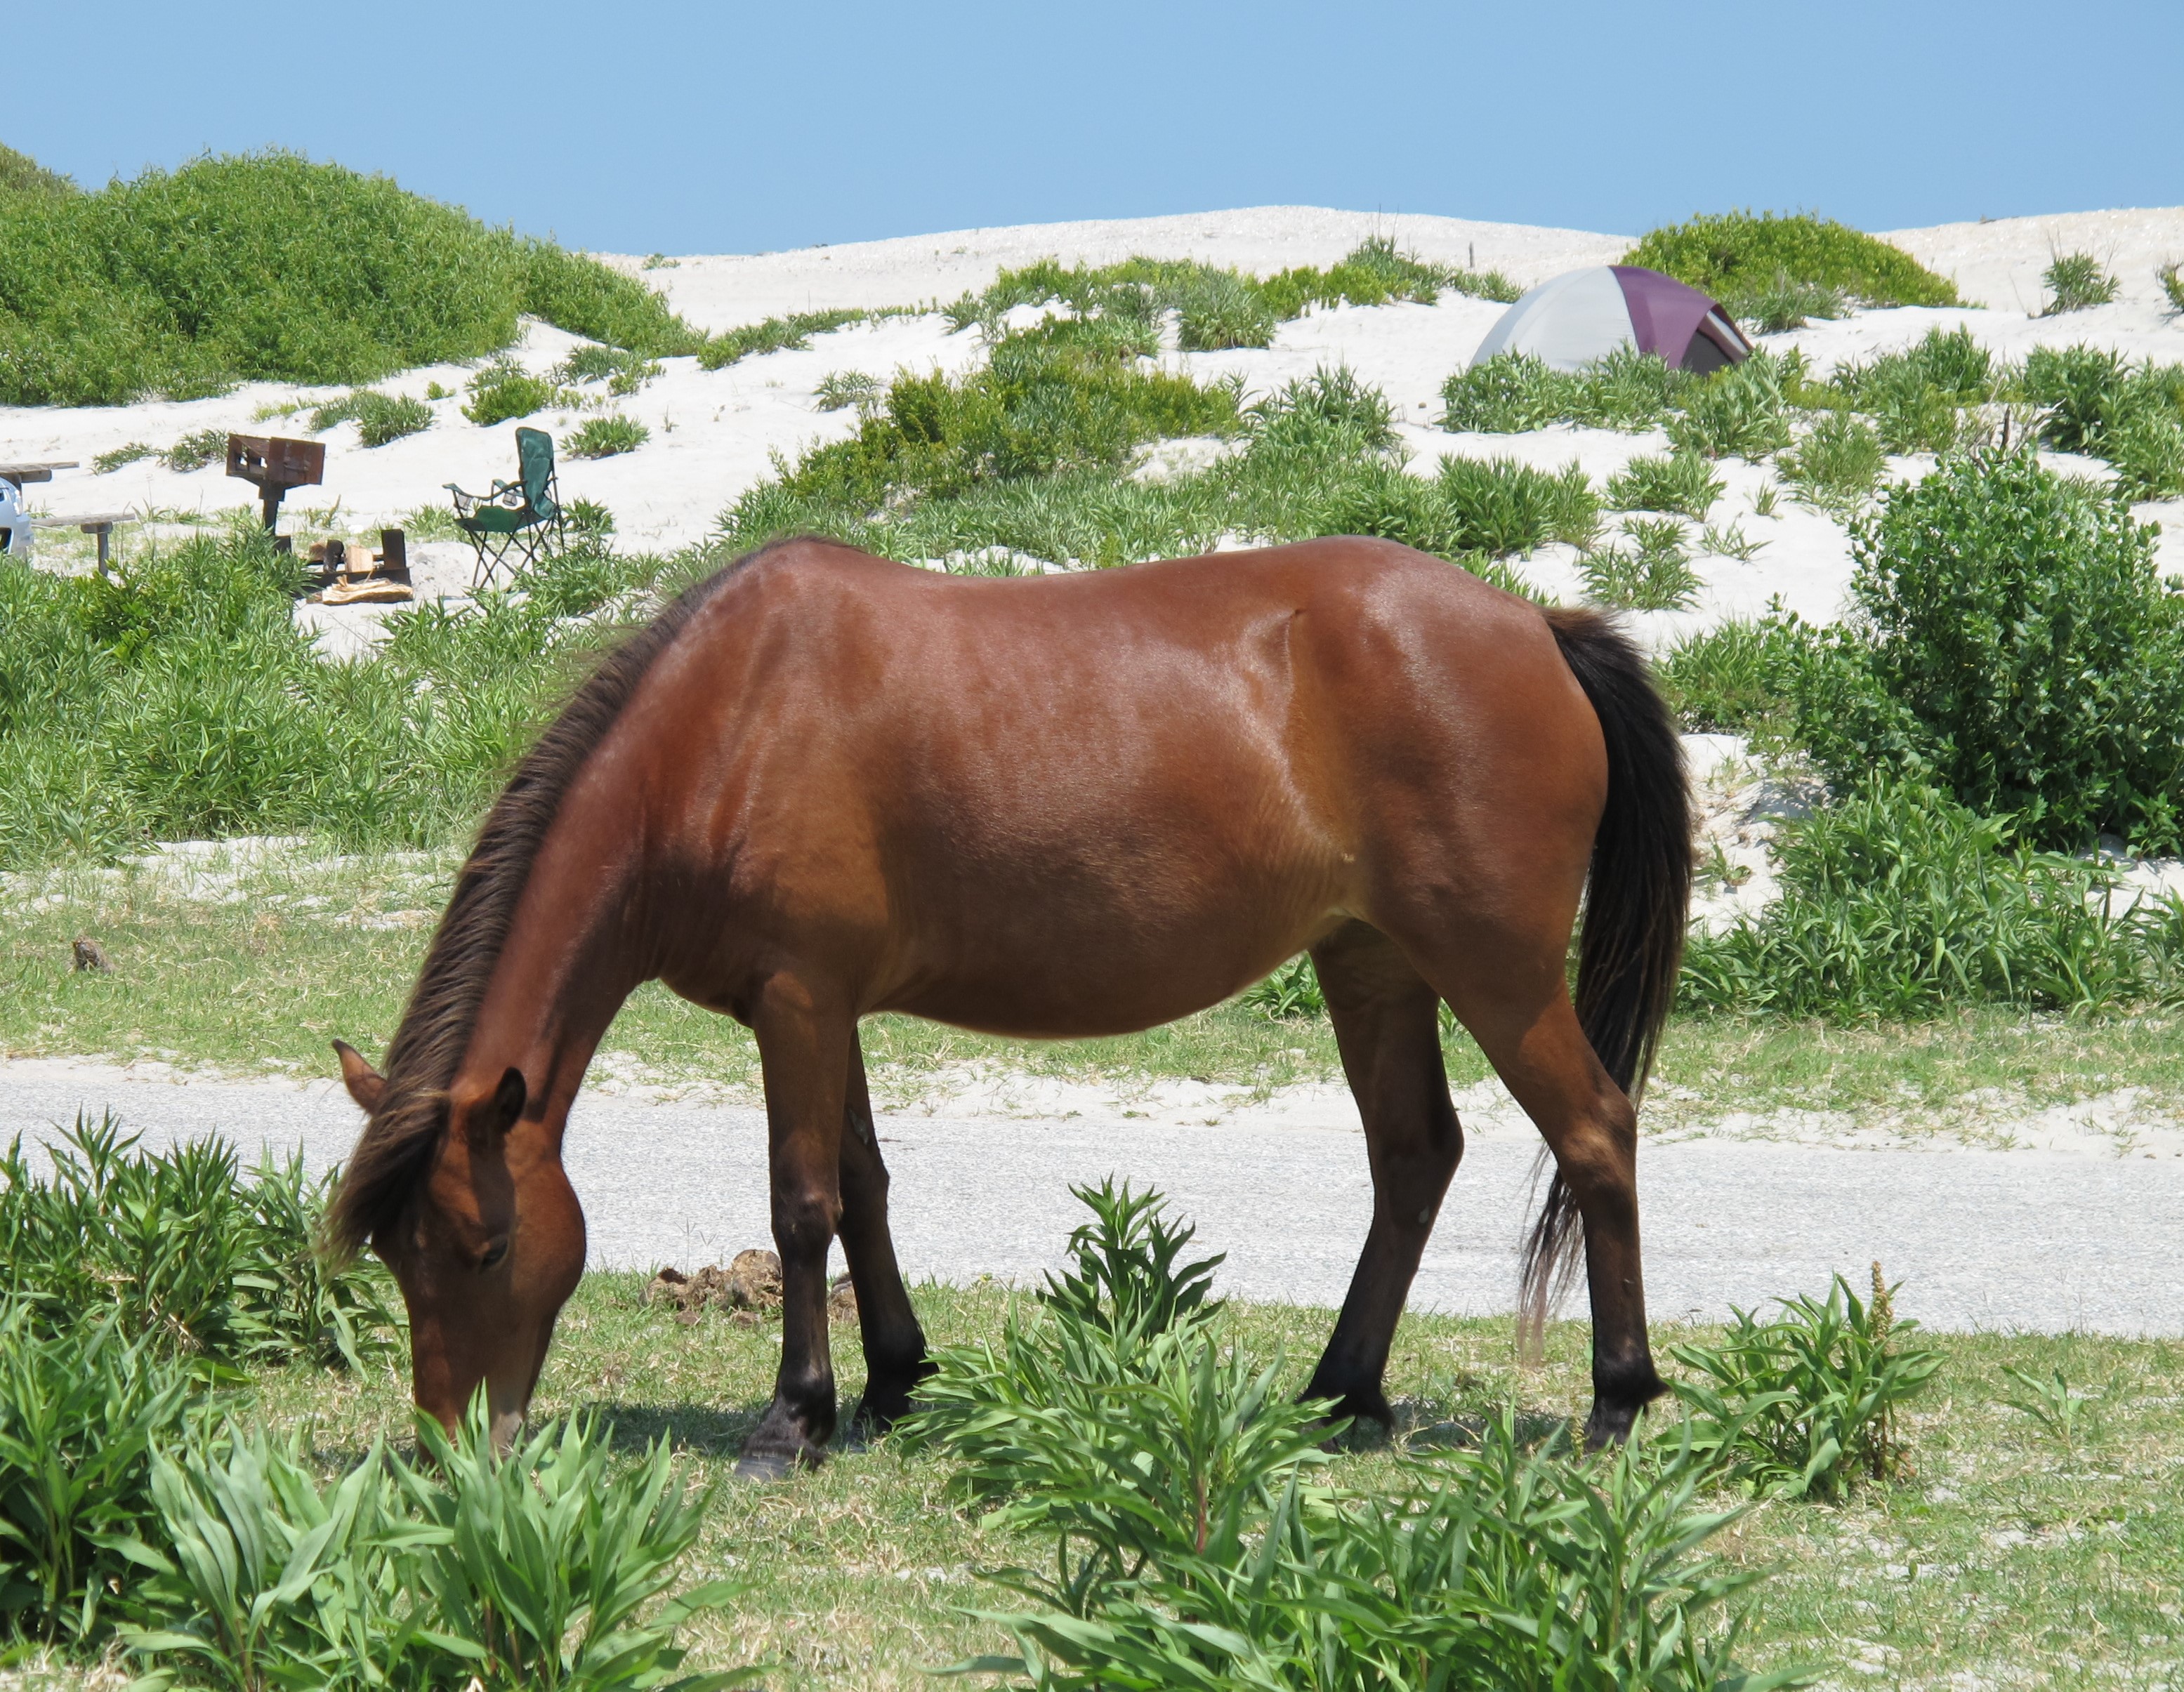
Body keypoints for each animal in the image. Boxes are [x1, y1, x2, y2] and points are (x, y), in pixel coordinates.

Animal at [323, 536, 1685, 1476]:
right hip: (1370, 961)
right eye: (394, 1255)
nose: (454, 1449)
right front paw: (891, 1382)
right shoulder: (825, 1008)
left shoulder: (797, 999)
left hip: (1493, 970)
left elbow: (801, 1205)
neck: (726, 725)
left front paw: (792, 1419)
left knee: (1594, 1134)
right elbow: (863, 1187)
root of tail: (1535, 625)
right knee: (1412, 1155)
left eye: (487, 1250)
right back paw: (1341, 1391)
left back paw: (1618, 1397)